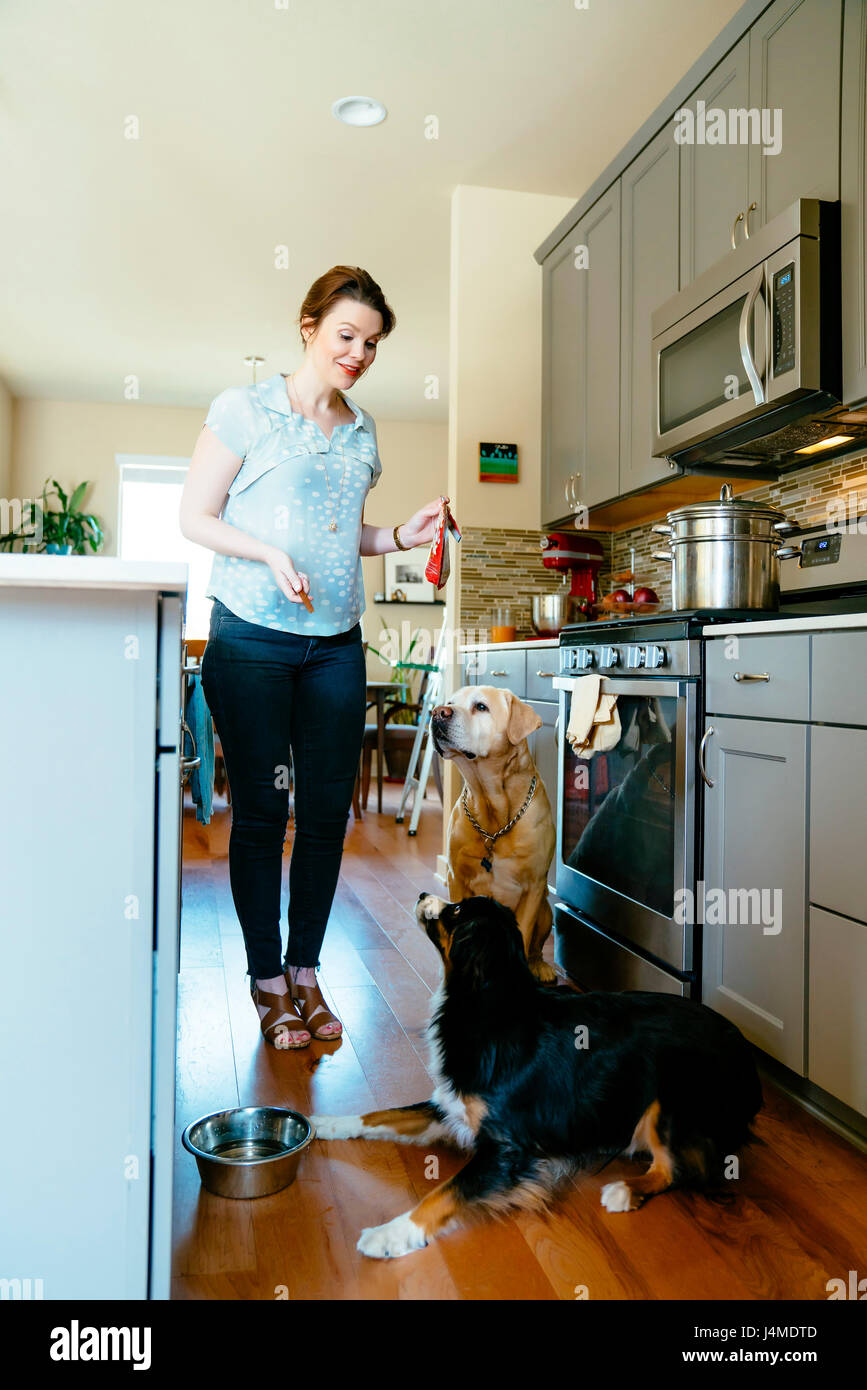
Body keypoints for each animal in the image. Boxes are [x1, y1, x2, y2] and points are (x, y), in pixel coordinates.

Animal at [308, 895, 761, 1256]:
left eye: (456, 910)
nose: (422, 894)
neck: (486, 999)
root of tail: (746, 1052)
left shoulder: (508, 1148)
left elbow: (444, 1193)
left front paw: (389, 1235)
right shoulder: (451, 1106)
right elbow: (381, 1115)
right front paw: (325, 1123)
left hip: (667, 1100)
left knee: (678, 1169)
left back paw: (624, 1190)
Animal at [430, 689, 555, 984]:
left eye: (481, 707)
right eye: (449, 703)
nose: (438, 712)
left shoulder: (534, 886)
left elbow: (524, 935)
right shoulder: (456, 877)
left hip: (547, 910)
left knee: (537, 947)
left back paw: (541, 966)